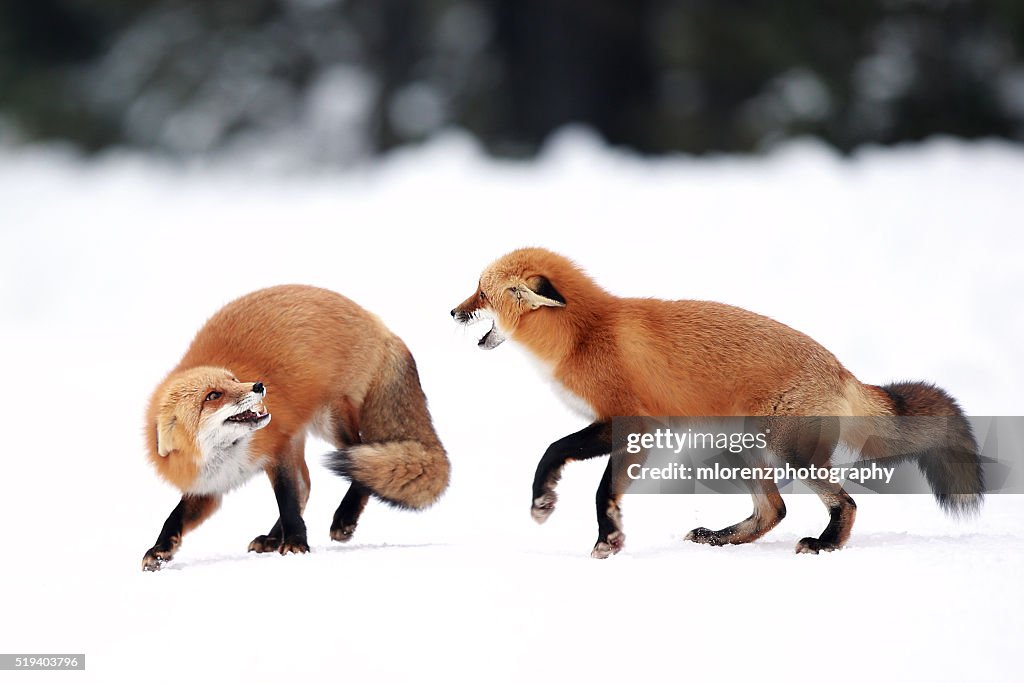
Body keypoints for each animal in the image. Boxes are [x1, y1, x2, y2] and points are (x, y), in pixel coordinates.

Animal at [142, 284, 449, 571]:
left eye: (234, 379)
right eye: (212, 396)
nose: (258, 386)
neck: (228, 455)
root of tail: (378, 324)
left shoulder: (279, 447)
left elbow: (288, 499)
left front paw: (296, 542)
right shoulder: (209, 484)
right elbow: (175, 516)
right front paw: (159, 549)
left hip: (331, 420)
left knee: (356, 461)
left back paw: (344, 517)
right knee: (309, 483)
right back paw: (271, 537)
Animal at [451, 247, 983, 558]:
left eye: (481, 293)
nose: (452, 311)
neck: (585, 334)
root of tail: (841, 370)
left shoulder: (634, 424)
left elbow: (565, 459)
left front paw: (580, 522)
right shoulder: (630, 431)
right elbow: (586, 475)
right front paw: (595, 528)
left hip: (787, 452)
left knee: (844, 502)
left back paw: (826, 543)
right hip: (738, 448)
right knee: (773, 511)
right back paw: (718, 539)